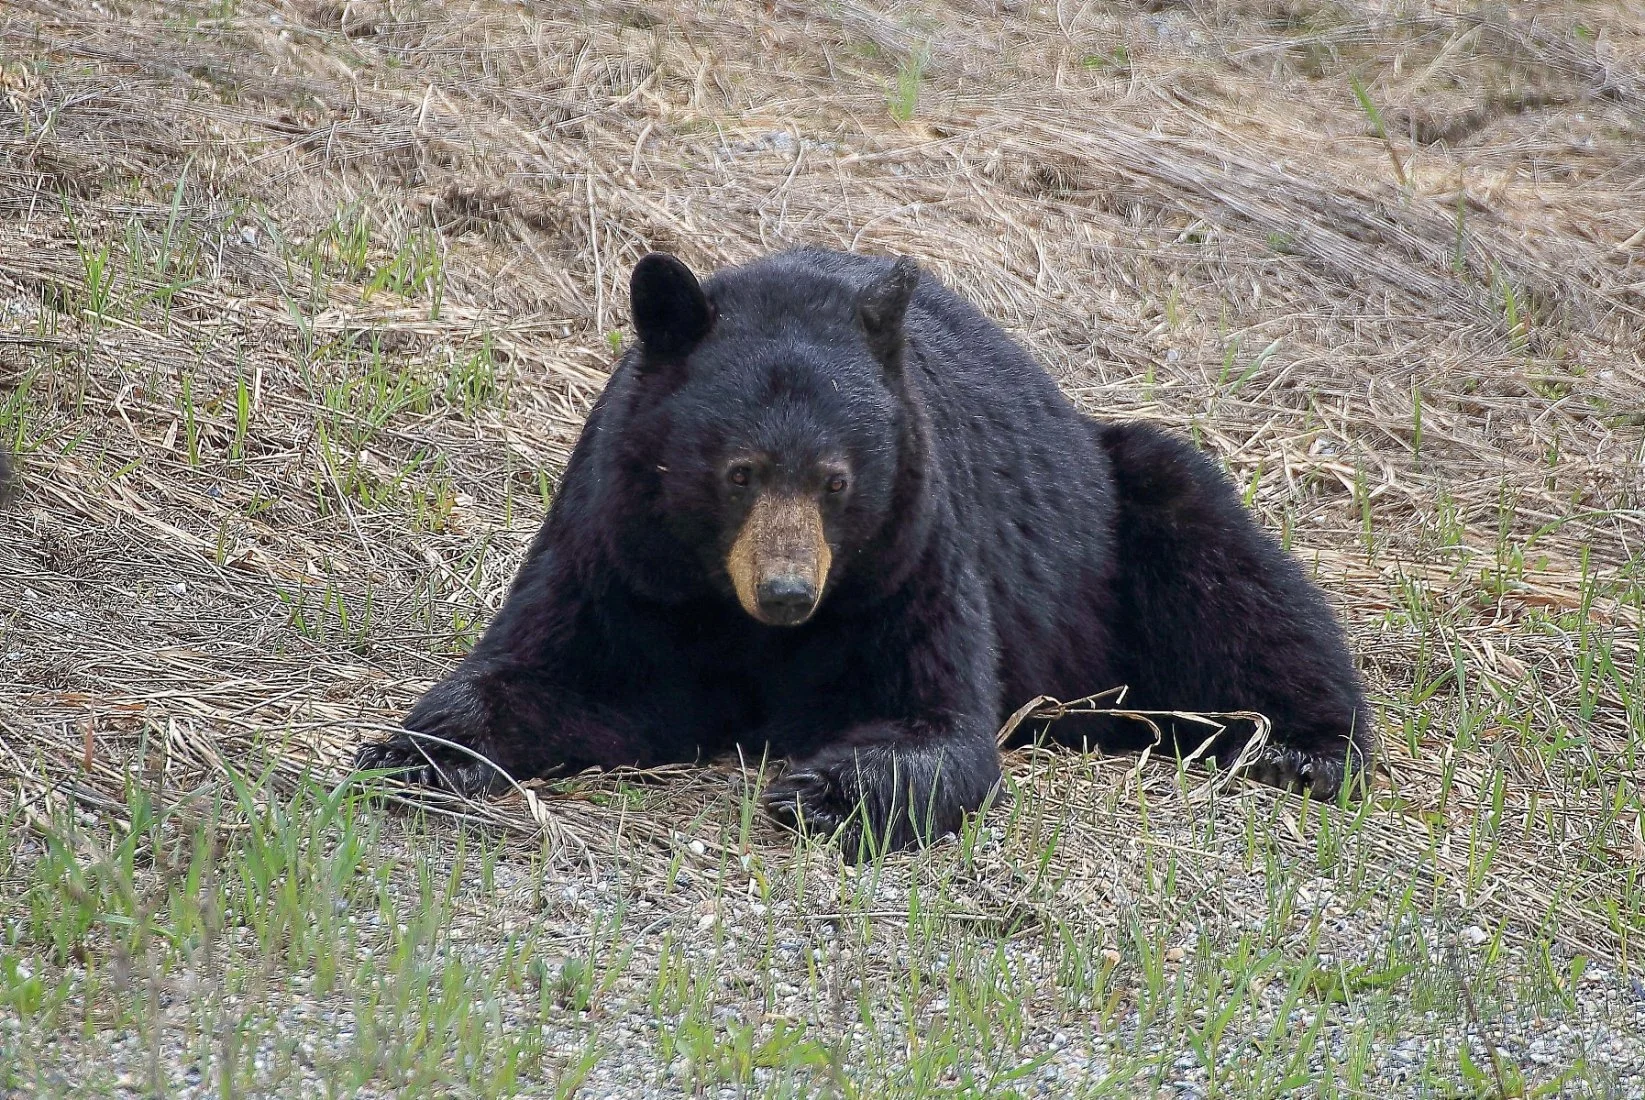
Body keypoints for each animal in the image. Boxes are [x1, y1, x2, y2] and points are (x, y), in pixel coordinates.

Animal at [356, 248, 1372, 853]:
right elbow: (562, 671)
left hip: (1117, 526)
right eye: (737, 472)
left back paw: (1306, 751)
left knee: (1237, 577)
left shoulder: (907, 558)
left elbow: (936, 717)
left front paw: (824, 789)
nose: (787, 592)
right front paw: (417, 751)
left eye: (836, 480)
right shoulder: (620, 552)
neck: (731, 616)